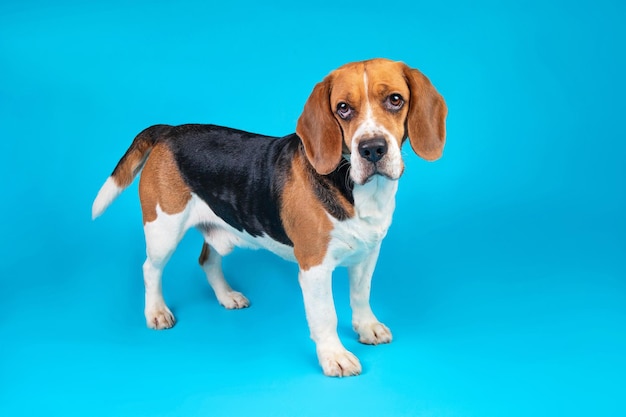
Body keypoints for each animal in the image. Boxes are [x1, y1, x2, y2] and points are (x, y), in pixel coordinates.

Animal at [91, 57, 444, 376]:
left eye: (395, 100)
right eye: (343, 108)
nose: (372, 149)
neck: (356, 189)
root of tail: (169, 130)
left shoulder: (368, 253)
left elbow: (361, 294)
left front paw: (366, 327)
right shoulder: (315, 268)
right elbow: (326, 315)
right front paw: (334, 356)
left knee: (207, 260)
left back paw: (226, 296)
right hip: (163, 229)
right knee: (150, 269)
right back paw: (156, 311)